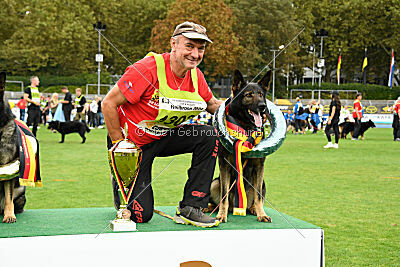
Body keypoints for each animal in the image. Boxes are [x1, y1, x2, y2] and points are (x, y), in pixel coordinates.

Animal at [206, 69, 272, 224]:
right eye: (249, 95)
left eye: (261, 94)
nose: (263, 106)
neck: (245, 128)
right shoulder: (224, 164)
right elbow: (224, 194)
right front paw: (221, 215)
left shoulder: (259, 166)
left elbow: (258, 196)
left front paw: (261, 214)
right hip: (214, 183)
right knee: (218, 201)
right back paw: (210, 208)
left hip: (262, 182)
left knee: (256, 197)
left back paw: (253, 209)